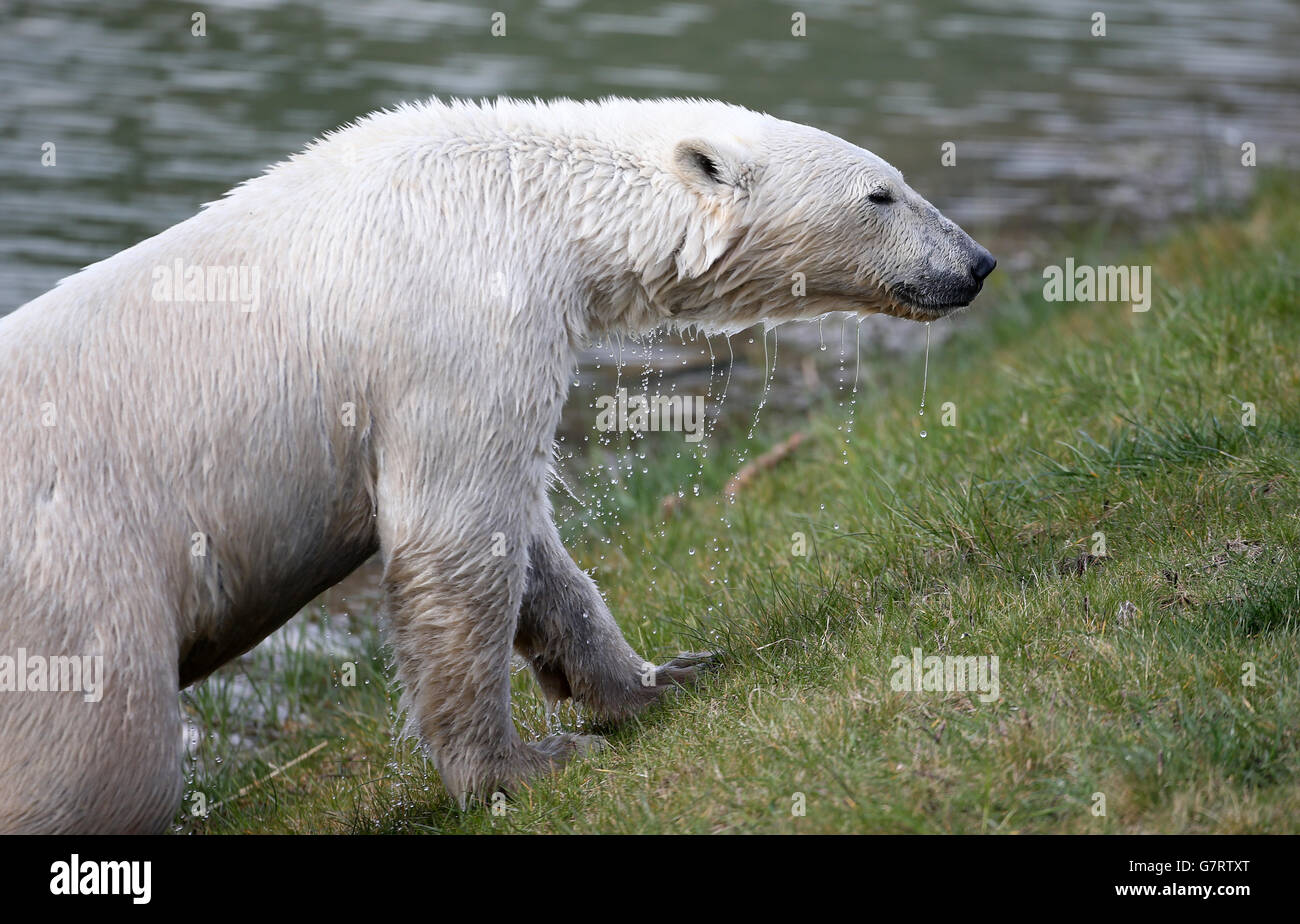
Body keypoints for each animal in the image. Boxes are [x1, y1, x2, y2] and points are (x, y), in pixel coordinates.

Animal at [0, 97, 995, 833]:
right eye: (882, 194)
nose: (976, 263)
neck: (522, 198)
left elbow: (535, 550)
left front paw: (655, 678)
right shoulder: (454, 325)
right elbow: (454, 536)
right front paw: (526, 767)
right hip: (73, 588)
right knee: (109, 761)